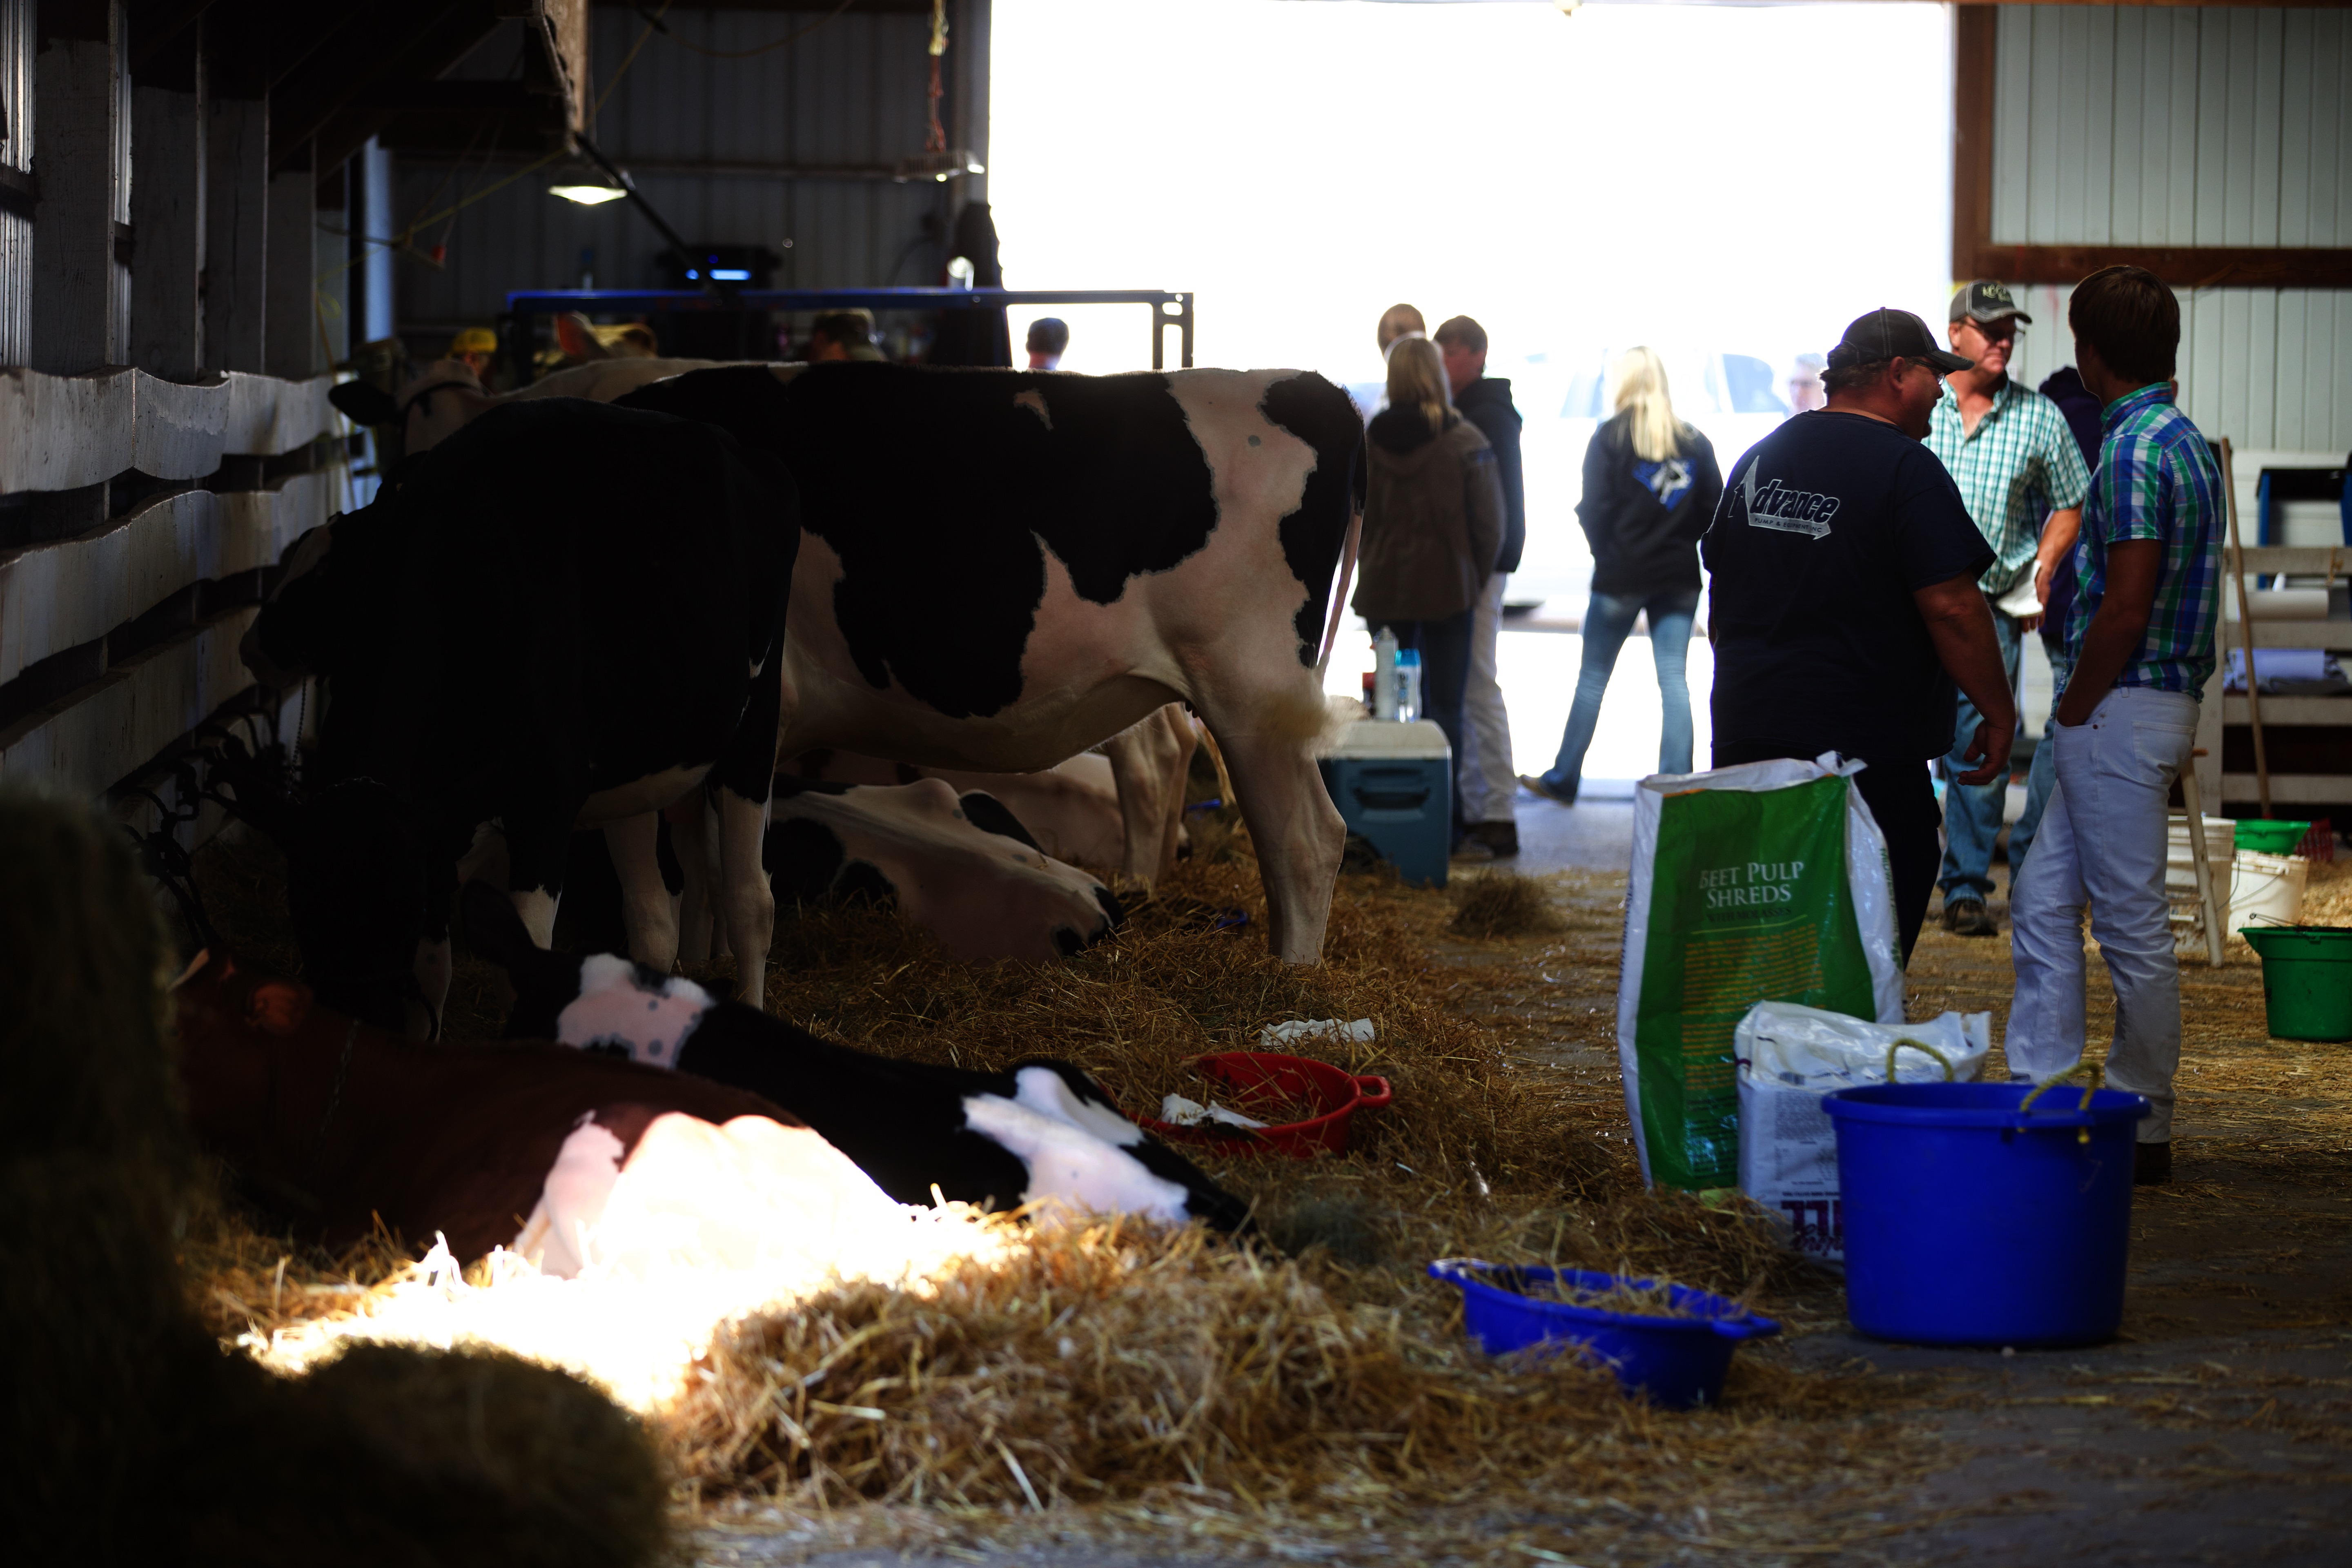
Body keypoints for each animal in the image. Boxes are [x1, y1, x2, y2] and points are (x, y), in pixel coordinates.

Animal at [236, 397, 796, 1025]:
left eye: (326, 573)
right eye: (306, 912)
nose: (252, 646)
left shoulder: (542, 800)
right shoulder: (440, 829)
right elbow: (438, 974)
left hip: (753, 726)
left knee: (751, 900)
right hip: (631, 765)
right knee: (651, 920)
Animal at [614, 362, 1363, 962]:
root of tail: (1309, 384)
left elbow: (685, 905)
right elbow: (698, 889)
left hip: (1253, 694)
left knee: (1305, 841)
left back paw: (1288, 981)